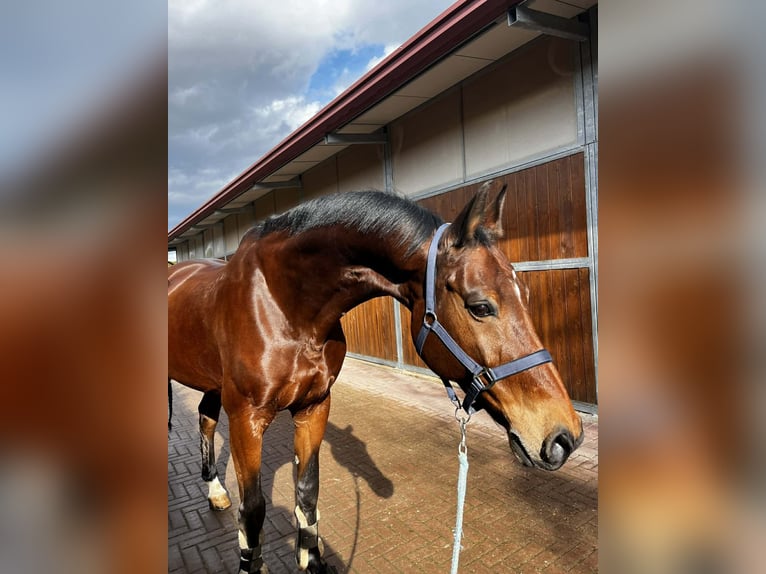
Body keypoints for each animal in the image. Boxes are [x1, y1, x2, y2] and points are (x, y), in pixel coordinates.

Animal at [168, 183, 583, 573]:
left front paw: (312, 560)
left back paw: (215, 492)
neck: (282, 303)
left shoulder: (313, 407)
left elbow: (307, 491)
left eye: (524, 292)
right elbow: (253, 512)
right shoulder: (246, 418)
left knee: (205, 418)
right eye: (480, 306)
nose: (565, 436)